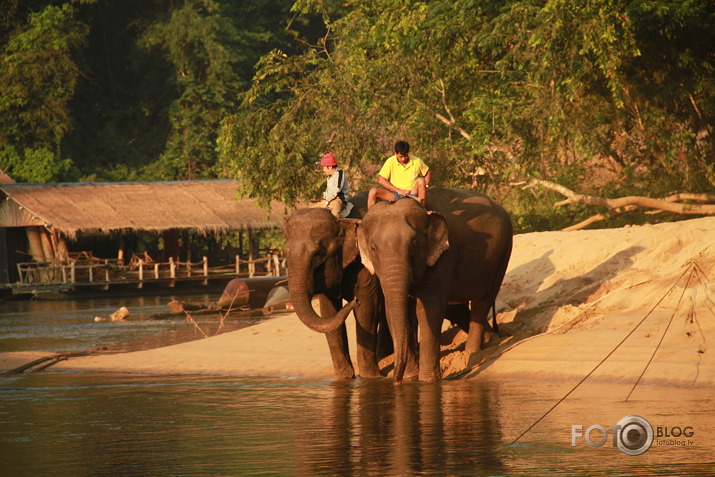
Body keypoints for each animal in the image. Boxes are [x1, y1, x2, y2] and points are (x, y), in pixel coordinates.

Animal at [282, 192, 392, 378]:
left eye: (318, 256)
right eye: (285, 252)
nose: (354, 301)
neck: (342, 221)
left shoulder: (365, 263)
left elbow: (367, 307)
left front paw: (370, 378)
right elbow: (328, 311)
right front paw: (344, 378)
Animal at [358, 187, 516, 384]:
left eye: (414, 244)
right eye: (373, 248)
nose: (396, 381)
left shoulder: (444, 257)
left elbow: (429, 310)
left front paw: (428, 381)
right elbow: (399, 312)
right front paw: (411, 379)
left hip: (503, 252)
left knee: (483, 301)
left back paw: (472, 354)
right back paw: (491, 341)